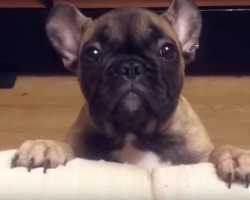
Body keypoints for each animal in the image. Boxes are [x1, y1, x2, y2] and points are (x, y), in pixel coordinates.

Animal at [10, 0, 250, 188]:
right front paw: (46, 146)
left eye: (167, 50)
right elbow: (68, 147)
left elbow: (217, 150)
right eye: (92, 54)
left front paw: (236, 156)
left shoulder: (198, 156)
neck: (134, 131)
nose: (131, 66)